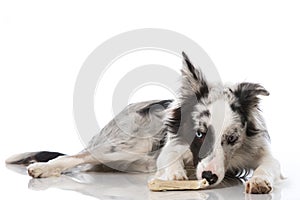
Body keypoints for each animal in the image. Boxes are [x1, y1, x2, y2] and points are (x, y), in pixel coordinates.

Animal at [5, 52, 282, 194]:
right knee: (75, 156)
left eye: (232, 138)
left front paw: (259, 181)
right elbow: (171, 159)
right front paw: (175, 174)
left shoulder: (264, 154)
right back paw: (42, 168)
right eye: (199, 134)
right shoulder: (169, 146)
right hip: (127, 147)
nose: (209, 177)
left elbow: (268, 166)